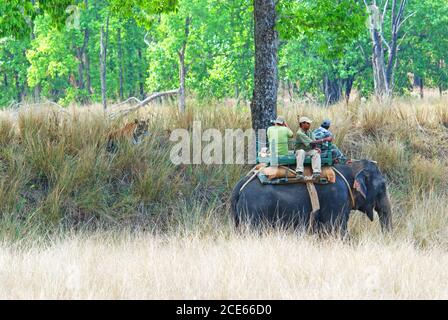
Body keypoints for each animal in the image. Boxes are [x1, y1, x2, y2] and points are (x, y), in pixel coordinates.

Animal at [231, 159, 392, 235]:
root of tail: (239, 187)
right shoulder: (337, 198)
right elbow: (337, 230)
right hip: (255, 211)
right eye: (383, 186)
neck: (351, 168)